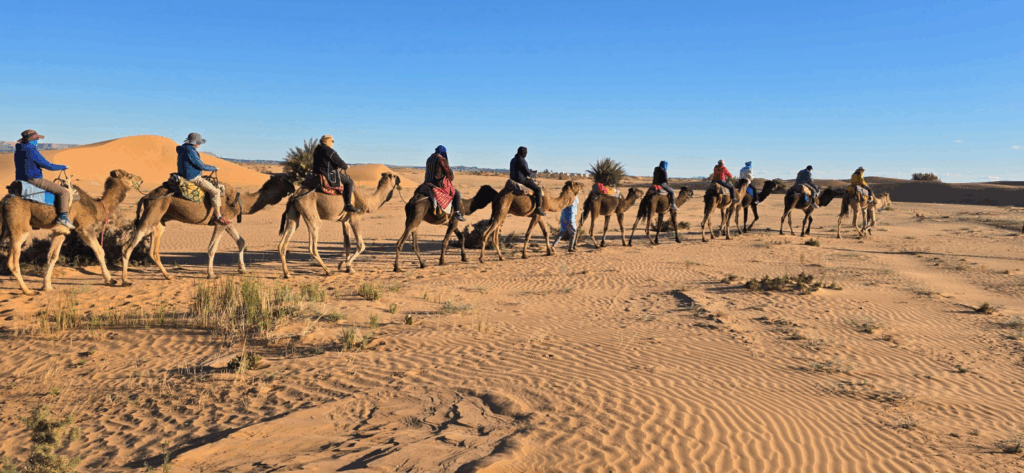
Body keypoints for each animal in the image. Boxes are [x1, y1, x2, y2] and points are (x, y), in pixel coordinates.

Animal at [2, 170, 143, 295]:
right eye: (129, 175)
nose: (141, 180)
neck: (95, 207)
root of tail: (6, 200)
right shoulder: (85, 227)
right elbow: (100, 251)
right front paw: (110, 280)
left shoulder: (61, 230)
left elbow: (52, 256)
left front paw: (47, 286)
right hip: (19, 226)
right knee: (13, 262)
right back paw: (28, 291)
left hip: (6, 229)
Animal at [121, 173, 295, 285]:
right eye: (285, 179)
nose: (294, 186)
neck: (241, 202)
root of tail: (145, 197)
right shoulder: (220, 222)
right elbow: (212, 247)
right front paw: (211, 274)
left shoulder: (226, 220)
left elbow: (241, 241)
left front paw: (242, 269)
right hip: (151, 215)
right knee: (128, 246)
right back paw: (125, 280)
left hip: (159, 221)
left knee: (153, 250)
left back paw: (168, 276)